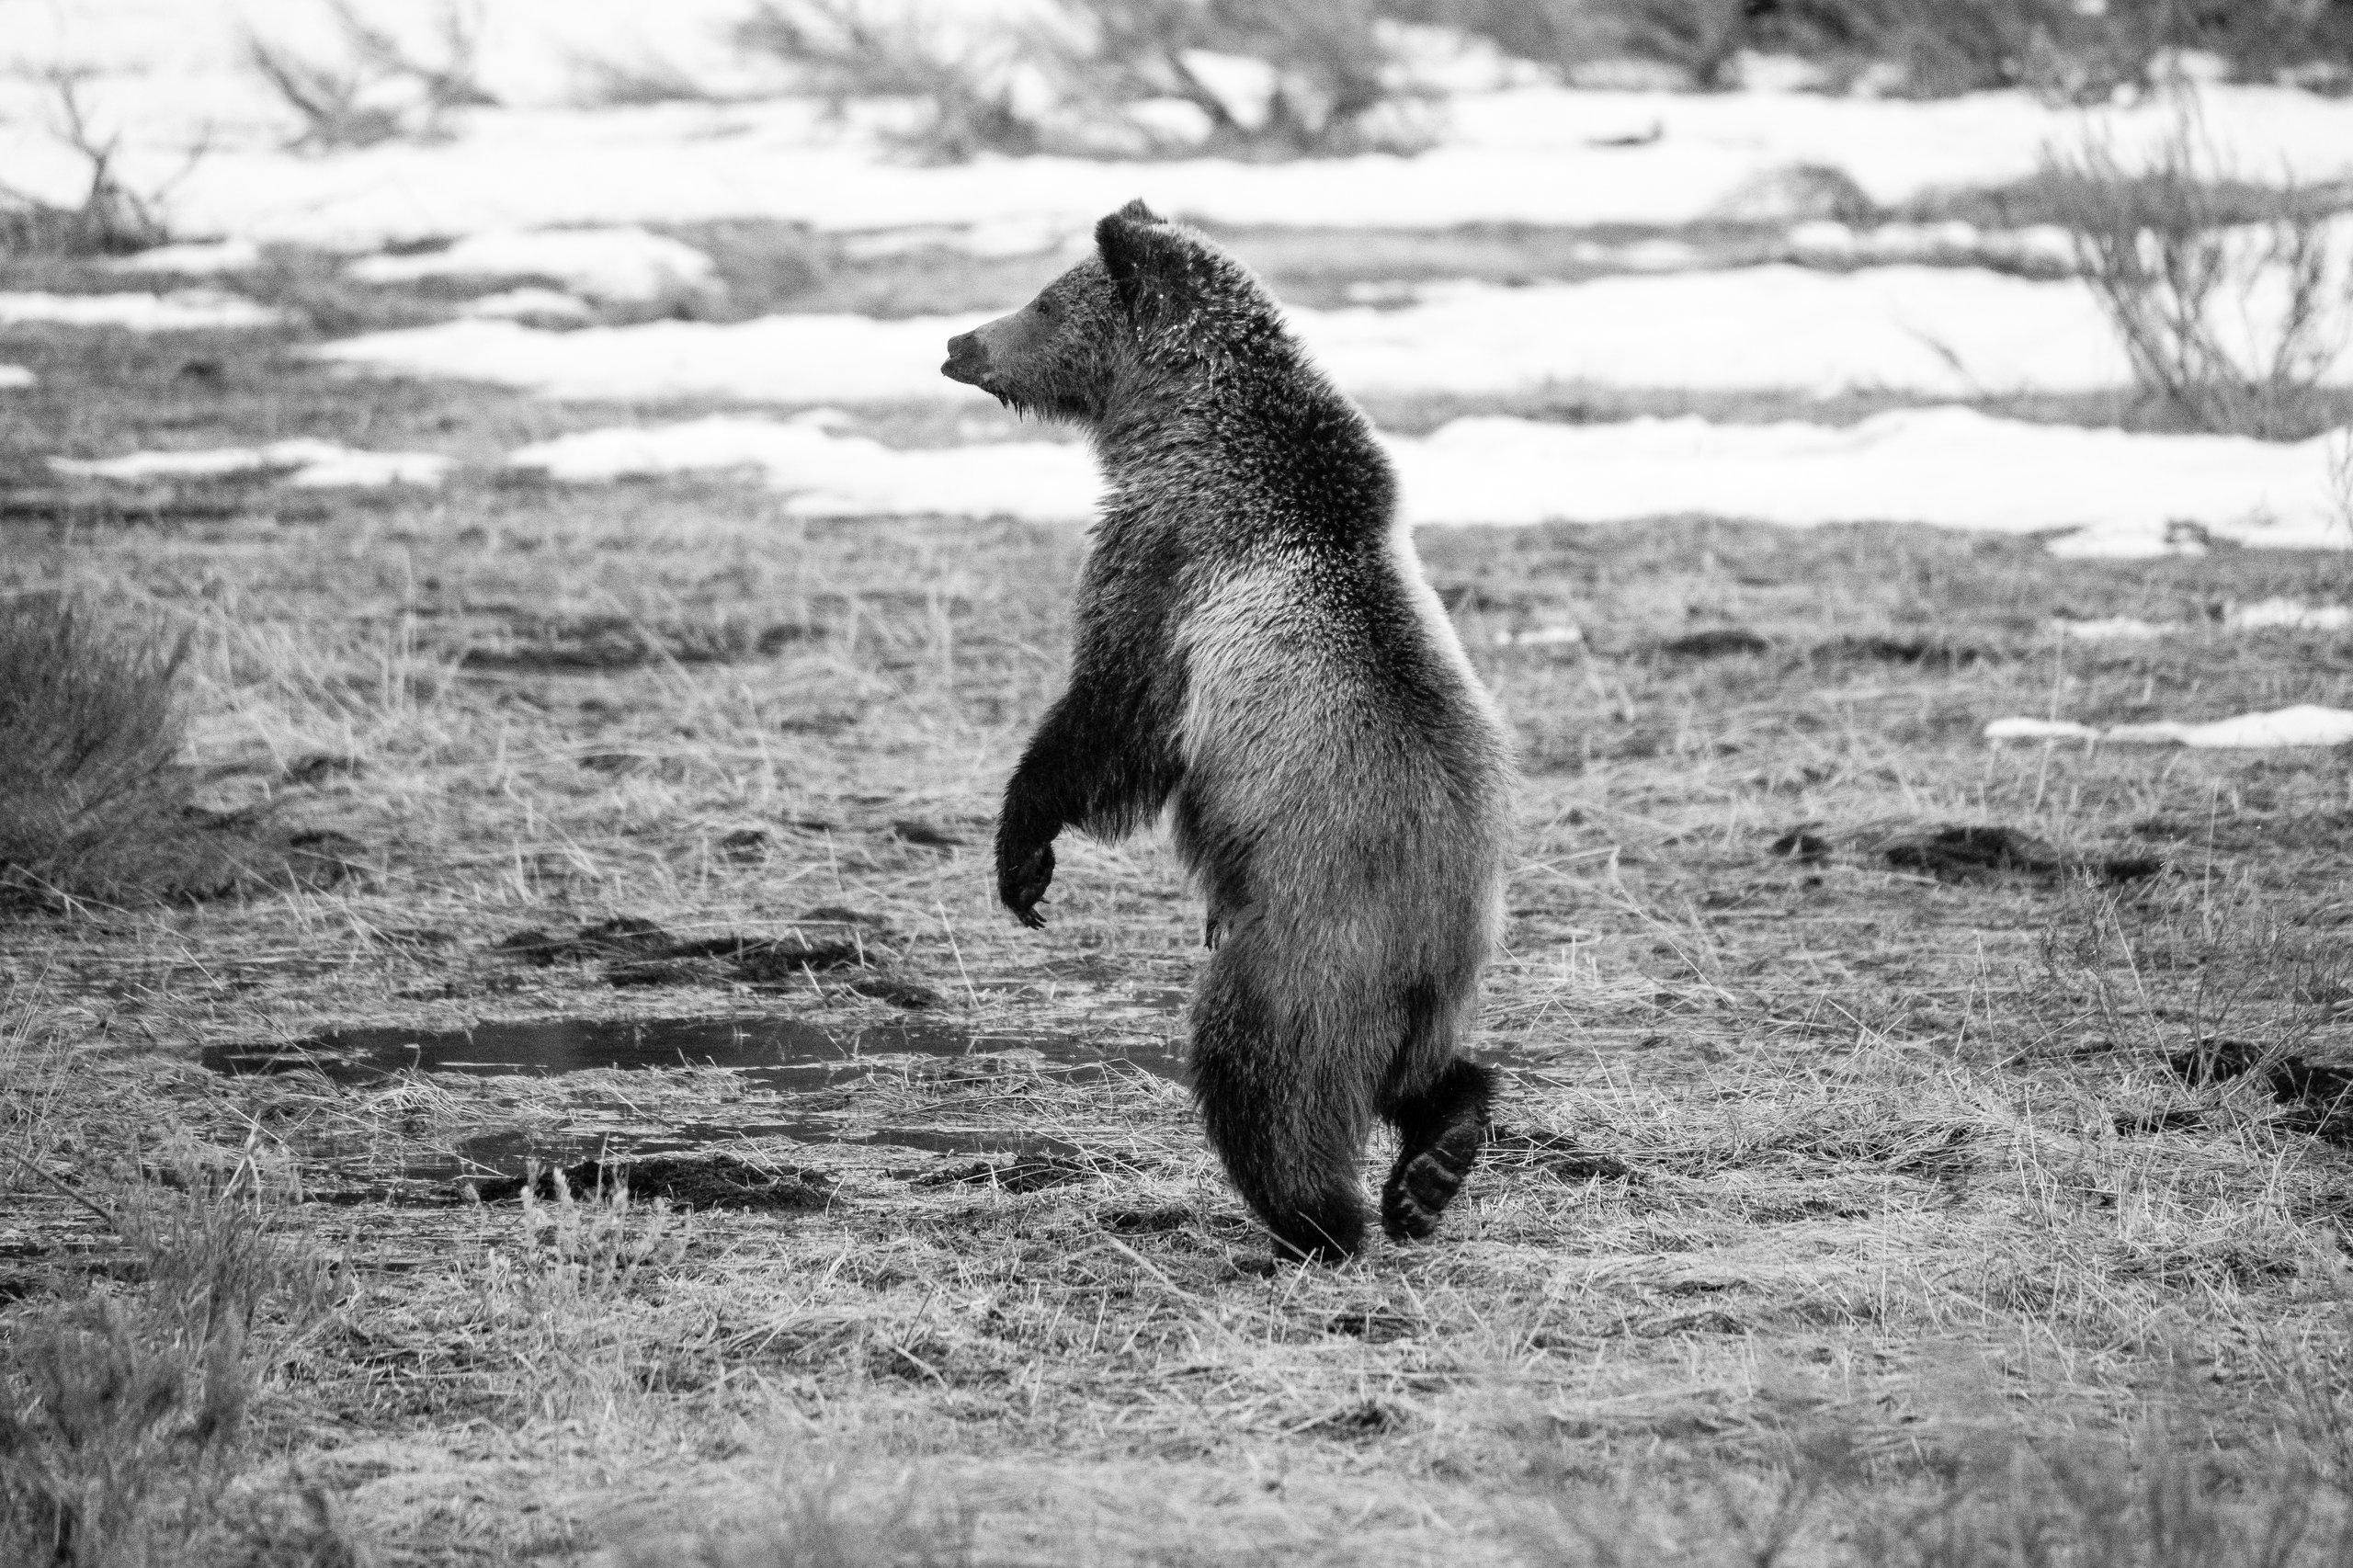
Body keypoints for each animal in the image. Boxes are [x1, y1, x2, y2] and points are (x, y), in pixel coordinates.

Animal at [941, 200, 1515, 1261]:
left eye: (1045, 297)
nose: (959, 341)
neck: (1189, 427)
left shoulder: (1163, 566)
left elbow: (1110, 716)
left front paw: (1023, 860)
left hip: (1305, 943)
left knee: (1262, 1073)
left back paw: (1316, 1217)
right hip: (1440, 973)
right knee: (1428, 1073)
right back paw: (1429, 1171)